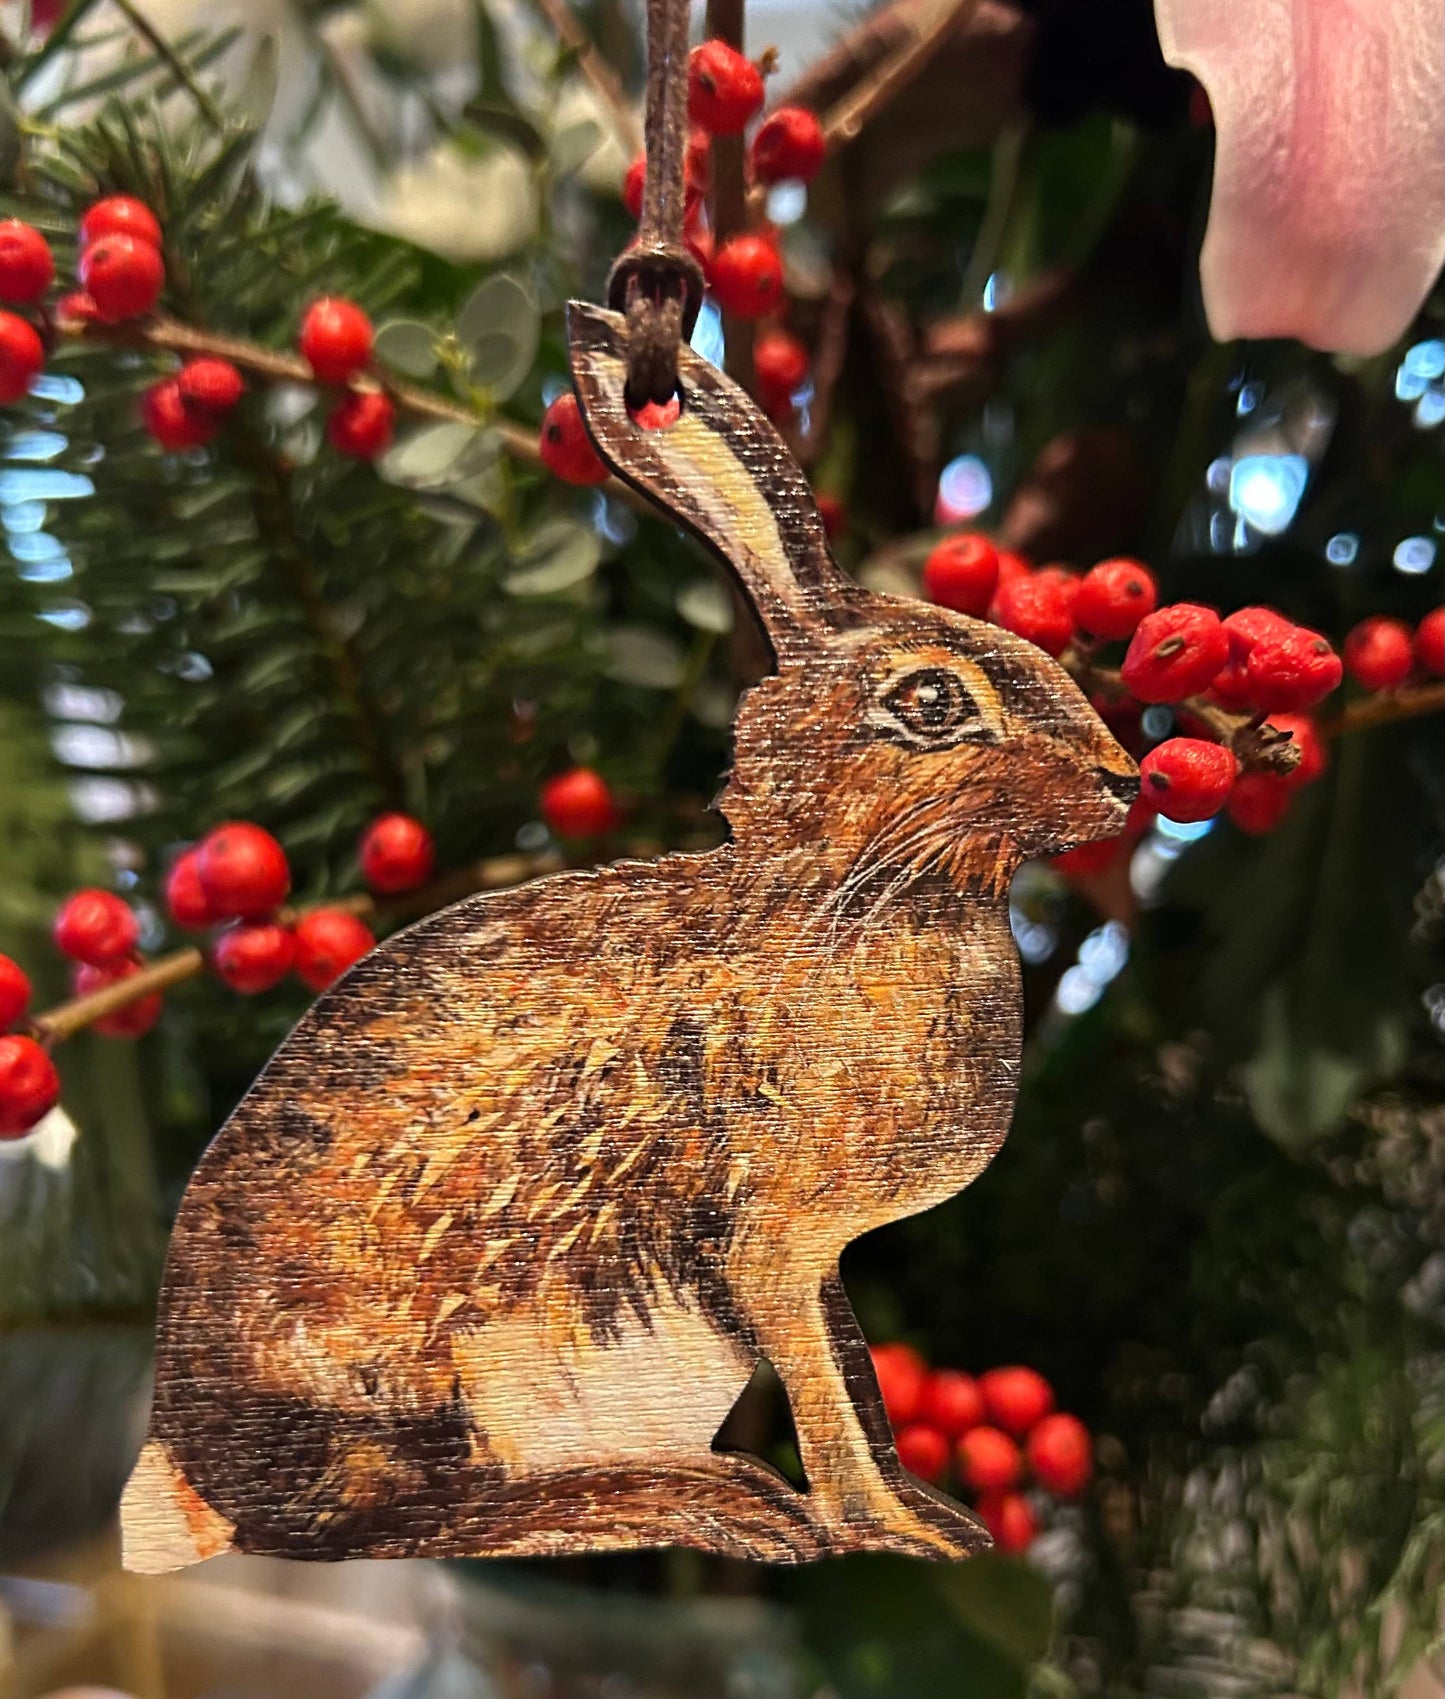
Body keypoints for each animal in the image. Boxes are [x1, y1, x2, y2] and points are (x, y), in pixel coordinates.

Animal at [120, 302, 1137, 1573]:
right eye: (931, 702)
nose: (1123, 779)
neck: (848, 889)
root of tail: (183, 1458)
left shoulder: (813, 1261)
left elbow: (850, 1377)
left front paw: (925, 1517)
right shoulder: (768, 1236)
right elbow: (823, 1394)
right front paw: (894, 1532)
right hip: (428, 1375)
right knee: (386, 1522)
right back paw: (674, 1502)